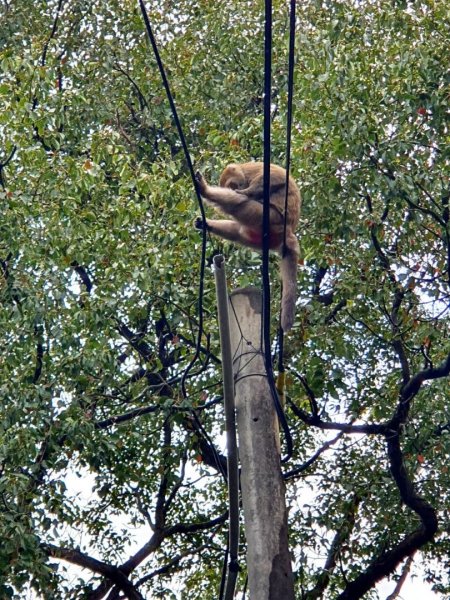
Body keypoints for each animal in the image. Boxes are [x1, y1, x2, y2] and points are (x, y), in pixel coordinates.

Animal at [195, 162, 300, 330]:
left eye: (232, 185)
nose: (233, 188)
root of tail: (288, 231)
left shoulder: (254, 169)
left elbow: (277, 177)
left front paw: (247, 191)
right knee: (239, 231)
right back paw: (207, 223)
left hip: (271, 219)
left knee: (239, 203)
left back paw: (206, 191)